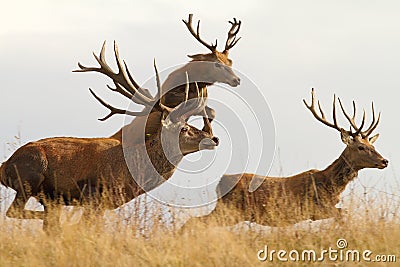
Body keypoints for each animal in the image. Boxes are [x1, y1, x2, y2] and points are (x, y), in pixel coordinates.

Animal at [0, 60, 219, 232]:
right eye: (184, 128)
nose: (214, 138)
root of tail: (4, 167)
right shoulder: (94, 195)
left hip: (49, 197)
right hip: (29, 179)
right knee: (16, 211)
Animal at [184, 89, 388, 229]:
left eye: (373, 146)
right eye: (361, 147)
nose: (384, 161)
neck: (330, 185)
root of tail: (219, 183)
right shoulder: (314, 208)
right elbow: (343, 214)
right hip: (229, 209)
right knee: (193, 221)